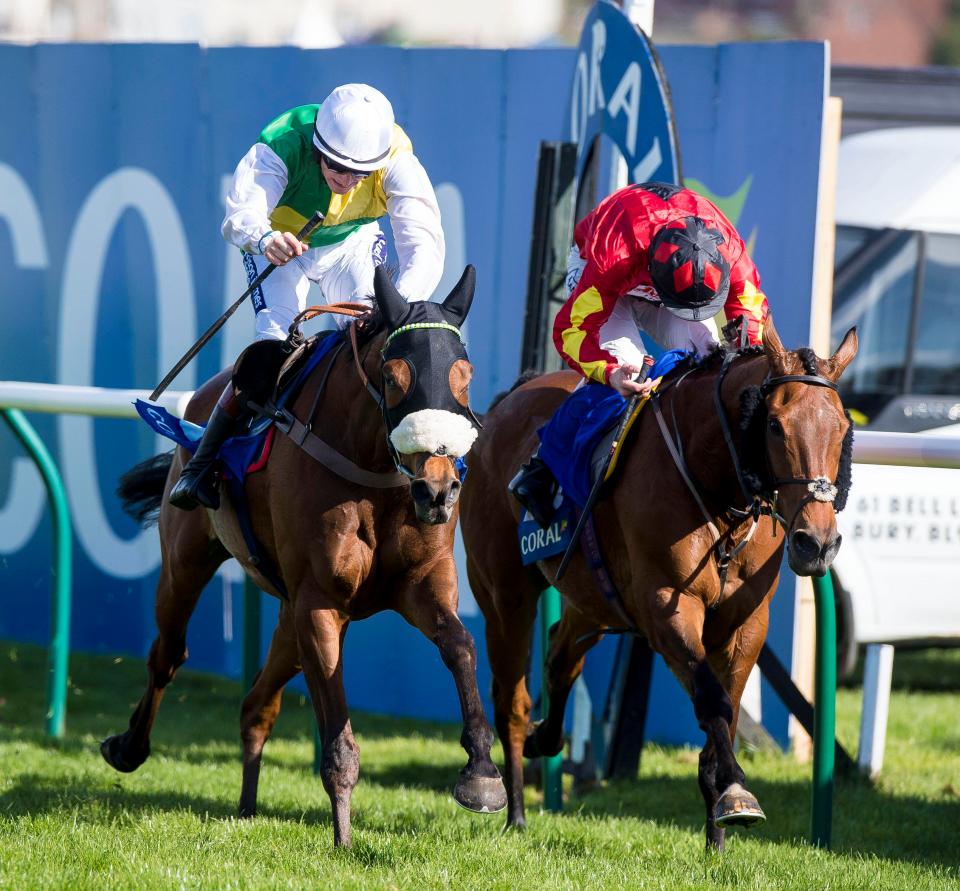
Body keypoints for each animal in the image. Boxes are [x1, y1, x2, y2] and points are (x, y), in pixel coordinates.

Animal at [104, 266, 506, 852]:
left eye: (464, 374)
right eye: (393, 376)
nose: (438, 489)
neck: (372, 472)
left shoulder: (421, 587)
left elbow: (461, 647)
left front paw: (481, 775)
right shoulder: (318, 604)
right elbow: (337, 735)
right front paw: (343, 839)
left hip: (287, 618)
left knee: (256, 704)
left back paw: (247, 806)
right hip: (187, 563)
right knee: (168, 654)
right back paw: (128, 746)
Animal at [462, 318, 860, 852]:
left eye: (841, 428)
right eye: (775, 425)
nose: (816, 543)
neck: (717, 486)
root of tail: (508, 401)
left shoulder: (747, 621)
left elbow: (727, 713)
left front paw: (718, 836)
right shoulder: (668, 608)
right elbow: (712, 700)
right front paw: (736, 793)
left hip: (594, 597)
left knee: (561, 653)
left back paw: (548, 739)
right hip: (503, 593)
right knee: (511, 698)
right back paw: (514, 811)